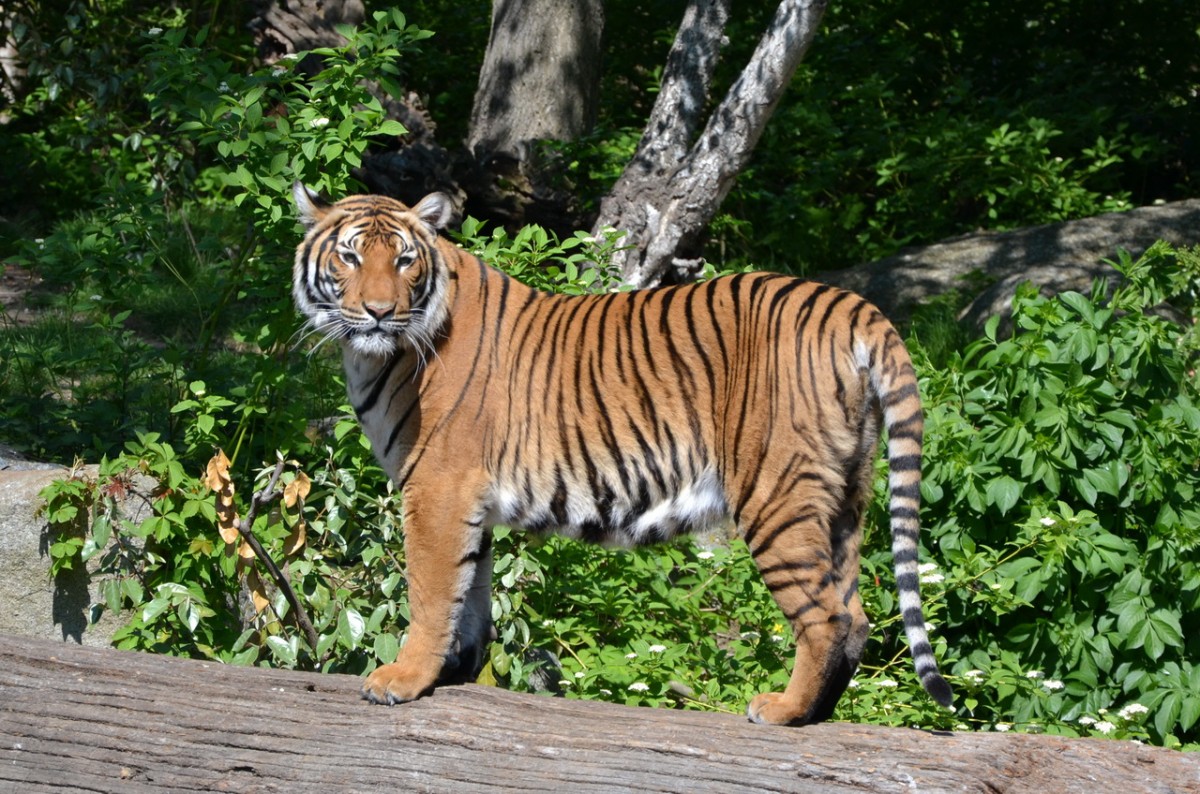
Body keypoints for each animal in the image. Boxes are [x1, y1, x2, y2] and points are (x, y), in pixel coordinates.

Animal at [292, 182, 955, 729]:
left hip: (778, 493)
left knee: (827, 616)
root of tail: (849, 304)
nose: (380, 312)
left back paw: (784, 711)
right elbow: (469, 590)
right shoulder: (464, 499)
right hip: (846, 494)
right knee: (857, 614)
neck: (375, 355)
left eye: (404, 259)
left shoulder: (437, 488)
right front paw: (456, 672)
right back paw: (818, 715)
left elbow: (432, 592)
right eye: (351, 257)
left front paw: (404, 680)